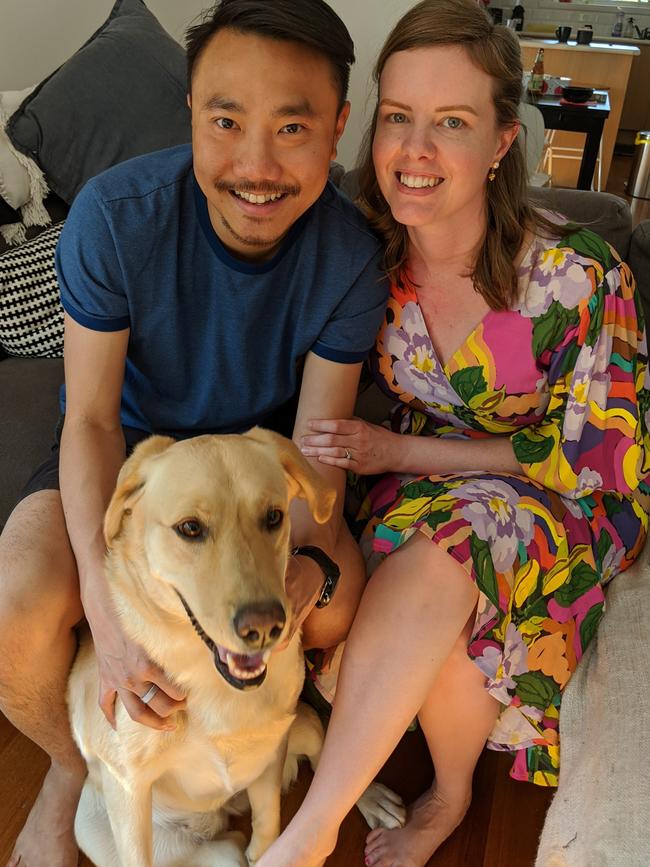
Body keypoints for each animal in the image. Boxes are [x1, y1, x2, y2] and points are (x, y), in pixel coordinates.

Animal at [67, 428, 400, 867]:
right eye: (190, 528)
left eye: (273, 517)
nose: (264, 627)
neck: (212, 684)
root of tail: (221, 815)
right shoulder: (128, 788)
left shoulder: (269, 755)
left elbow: (269, 828)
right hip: (96, 822)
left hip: (303, 725)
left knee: (330, 753)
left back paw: (373, 798)